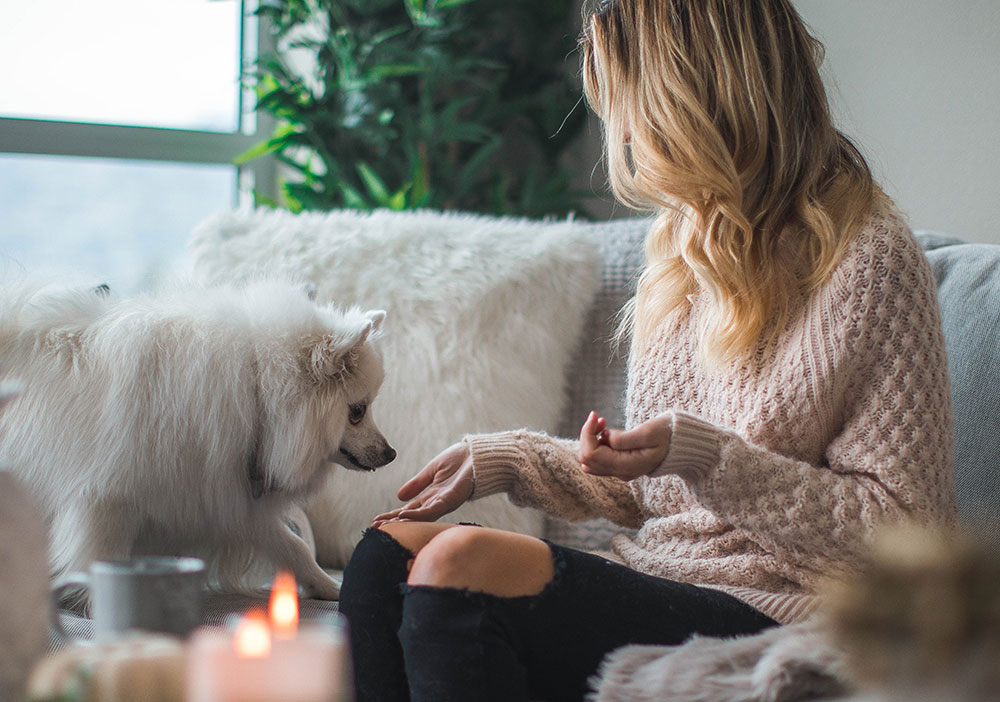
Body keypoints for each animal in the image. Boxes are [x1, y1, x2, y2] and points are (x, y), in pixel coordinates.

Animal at [0, 280, 396, 600]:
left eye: (368, 407)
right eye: (357, 411)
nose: (391, 453)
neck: (254, 390)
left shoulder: (225, 493)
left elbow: (292, 545)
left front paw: (329, 586)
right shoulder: (106, 501)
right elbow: (100, 556)